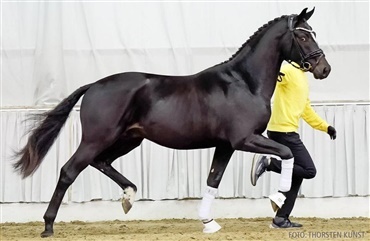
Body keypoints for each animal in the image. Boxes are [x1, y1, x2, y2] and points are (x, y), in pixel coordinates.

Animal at [14, 8, 330, 237]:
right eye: (303, 37)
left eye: (313, 33)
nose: (324, 69)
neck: (243, 82)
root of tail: (94, 85)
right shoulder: (244, 139)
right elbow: (286, 152)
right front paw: (278, 198)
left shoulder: (225, 145)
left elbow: (213, 180)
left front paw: (208, 223)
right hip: (97, 138)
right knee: (69, 170)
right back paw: (48, 226)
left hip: (129, 139)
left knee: (101, 162)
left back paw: (128, 197)